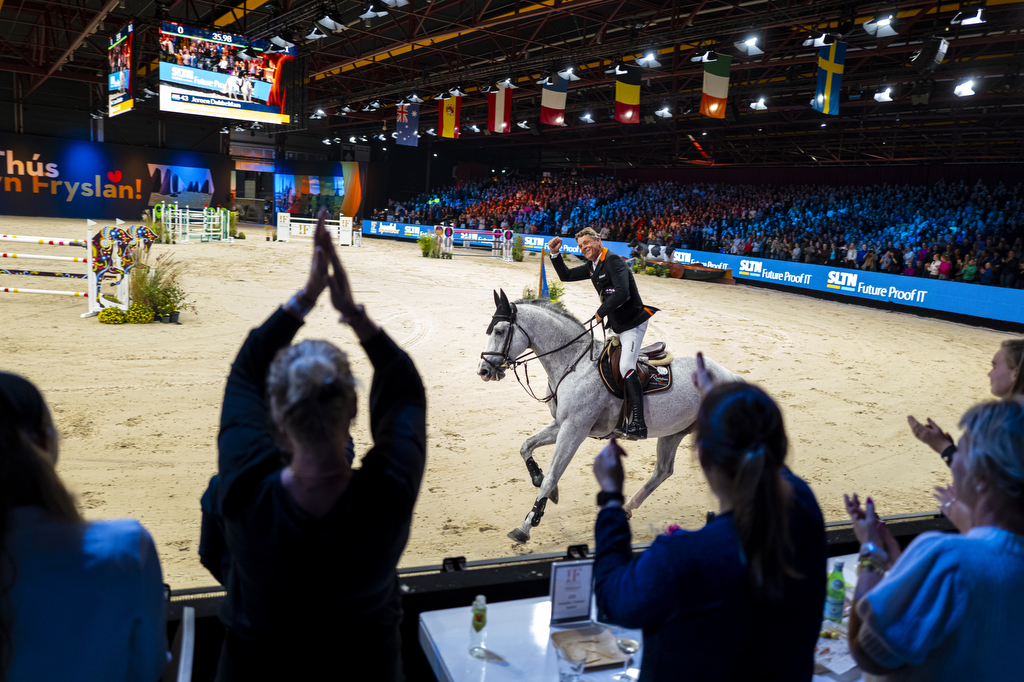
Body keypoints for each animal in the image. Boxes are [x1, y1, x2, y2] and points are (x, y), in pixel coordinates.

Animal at [475, 290, 741, 540]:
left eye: (499, 331)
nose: (484, 371)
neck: (574, 363)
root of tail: (732, 376)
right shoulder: (562, 423)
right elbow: (526, 447)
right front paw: (542, 483)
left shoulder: (575, 428)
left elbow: (553, 474)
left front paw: (527, 525)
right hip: (674, 432)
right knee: (663, 470)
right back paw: (627, 508)